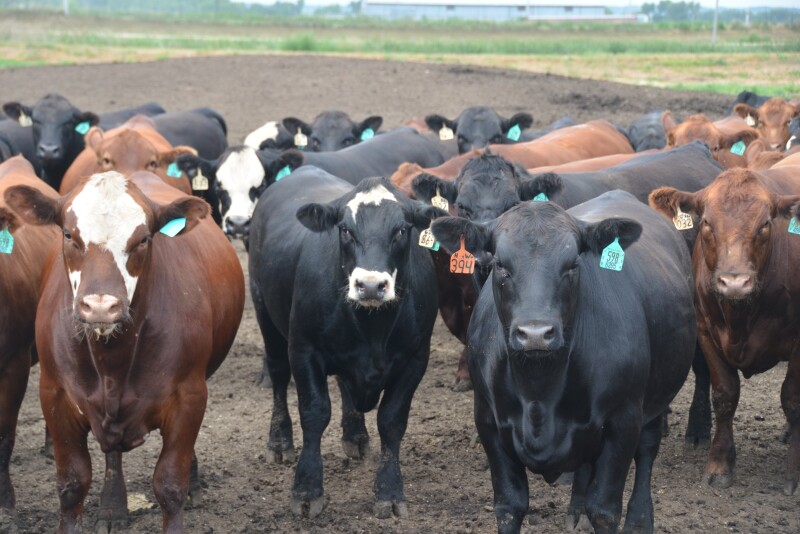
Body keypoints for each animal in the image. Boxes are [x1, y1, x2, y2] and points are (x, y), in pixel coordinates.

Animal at [3, 169, 244, 532]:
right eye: (68, 233)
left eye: (143, 239)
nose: (101, 306)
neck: (112, 359)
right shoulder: (54, 395)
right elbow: (72, 484)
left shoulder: (189, 395)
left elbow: (170, 484)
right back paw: (113, 506)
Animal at [248, 168, 443, 518]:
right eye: (345, 229)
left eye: (402, 229)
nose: (371, 285)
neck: (373, 328)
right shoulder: (304, 350)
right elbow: (314, 413)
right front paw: (307, 489)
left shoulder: (415, 358)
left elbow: (392, 421)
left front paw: (390, 490)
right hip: (265, 314)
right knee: (279, 379)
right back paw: (279, 441)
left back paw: (355, 434)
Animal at [431, 190, 695, 533]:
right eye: (500, 264)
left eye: (572, 265)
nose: (535, 334)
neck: (540, 391)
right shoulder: (488, 421)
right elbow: (509, 506)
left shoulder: (623, 422)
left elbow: (605, 509)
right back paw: (576, 509)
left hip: (656, 397)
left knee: (647, 451)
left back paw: (639, 519)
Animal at [649, 164, 800, 496]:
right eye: (706, 222)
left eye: (765, 224)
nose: (734, 282)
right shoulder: (707, 331)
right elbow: (725, 396)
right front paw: (719, 465)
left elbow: (792, 399)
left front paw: (795, 474)